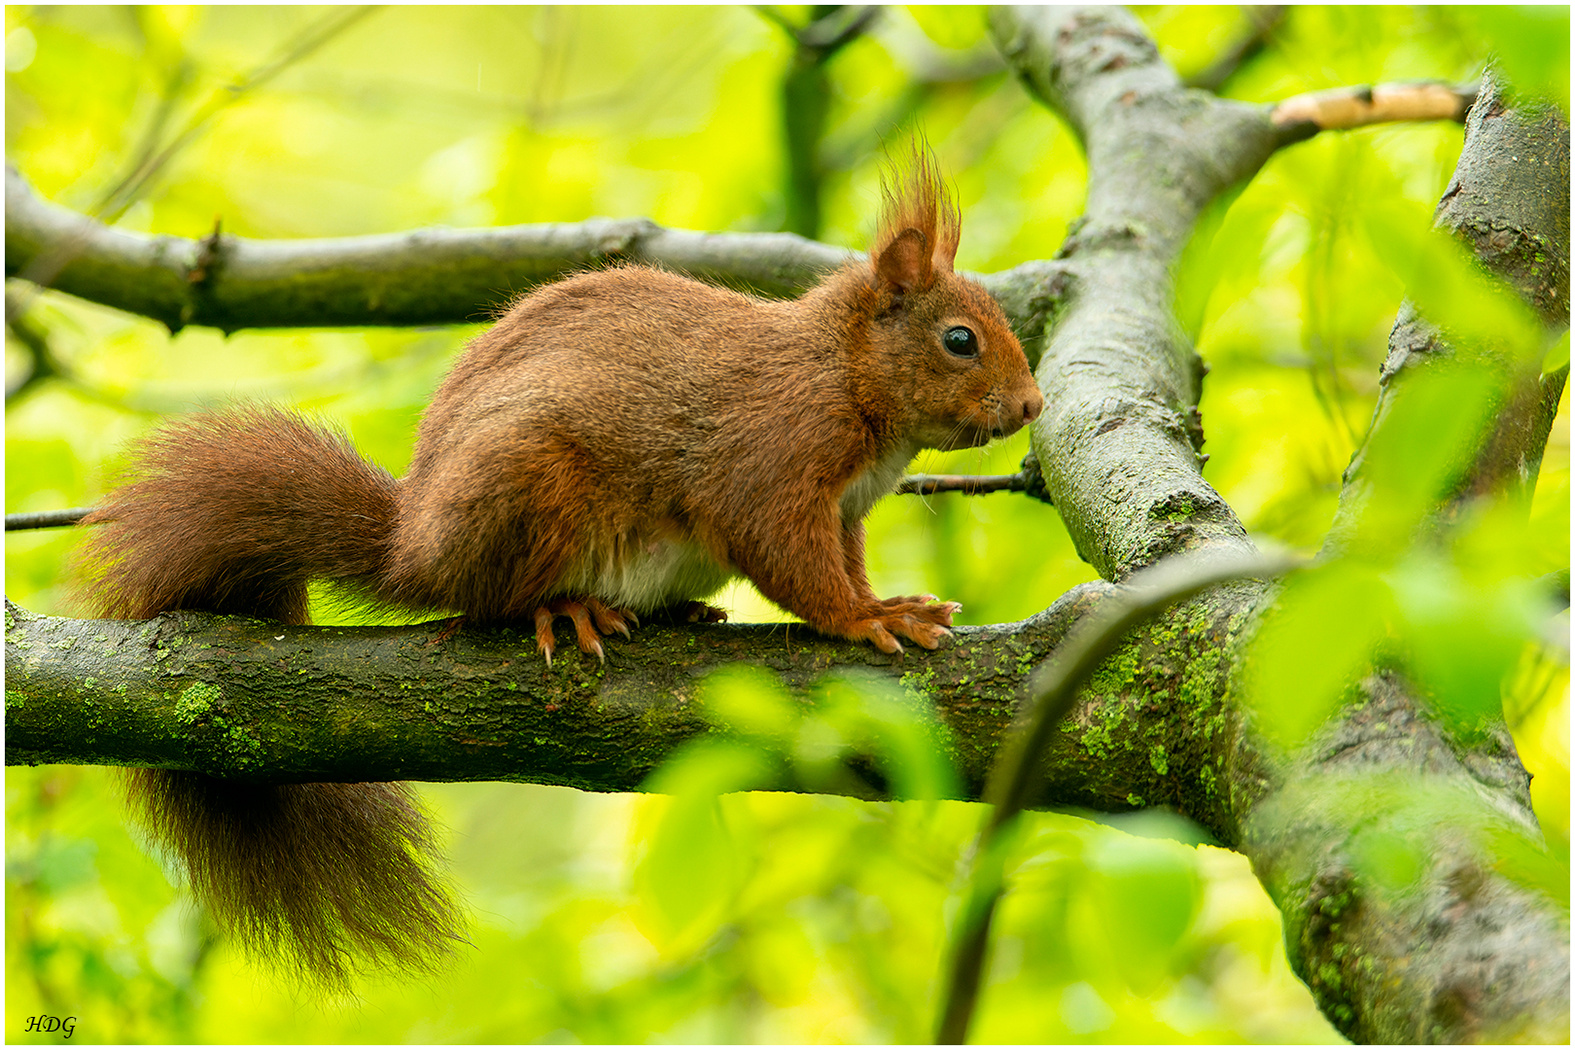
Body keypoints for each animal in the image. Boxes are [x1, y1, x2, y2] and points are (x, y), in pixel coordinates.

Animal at [83, 147, 1045, 988]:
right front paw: (870, 618)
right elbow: (791, 561)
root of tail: (415, 546)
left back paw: (680, 613)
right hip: (530, 486)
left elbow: (838, 562)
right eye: (960, 339)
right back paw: (562, 610)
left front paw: (889, 600)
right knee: (494, 603)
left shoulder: (845, 510)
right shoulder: (771, 459)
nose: (1033, 405)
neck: (841, 371)